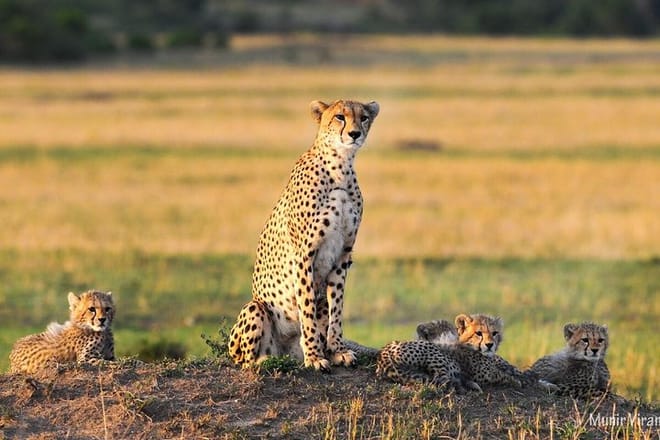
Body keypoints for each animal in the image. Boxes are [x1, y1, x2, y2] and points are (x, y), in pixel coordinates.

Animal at [228, 99, 380, 372]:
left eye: (363, 117)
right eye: (339, 117)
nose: (354, 134)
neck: (340, 166)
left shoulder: (343, 256)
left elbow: (336, 307)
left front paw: (337, 351)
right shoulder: (304, 255)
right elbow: (306, 307)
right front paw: (314, 356)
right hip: (255, 308)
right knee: (245, 361)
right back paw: (266, 360)